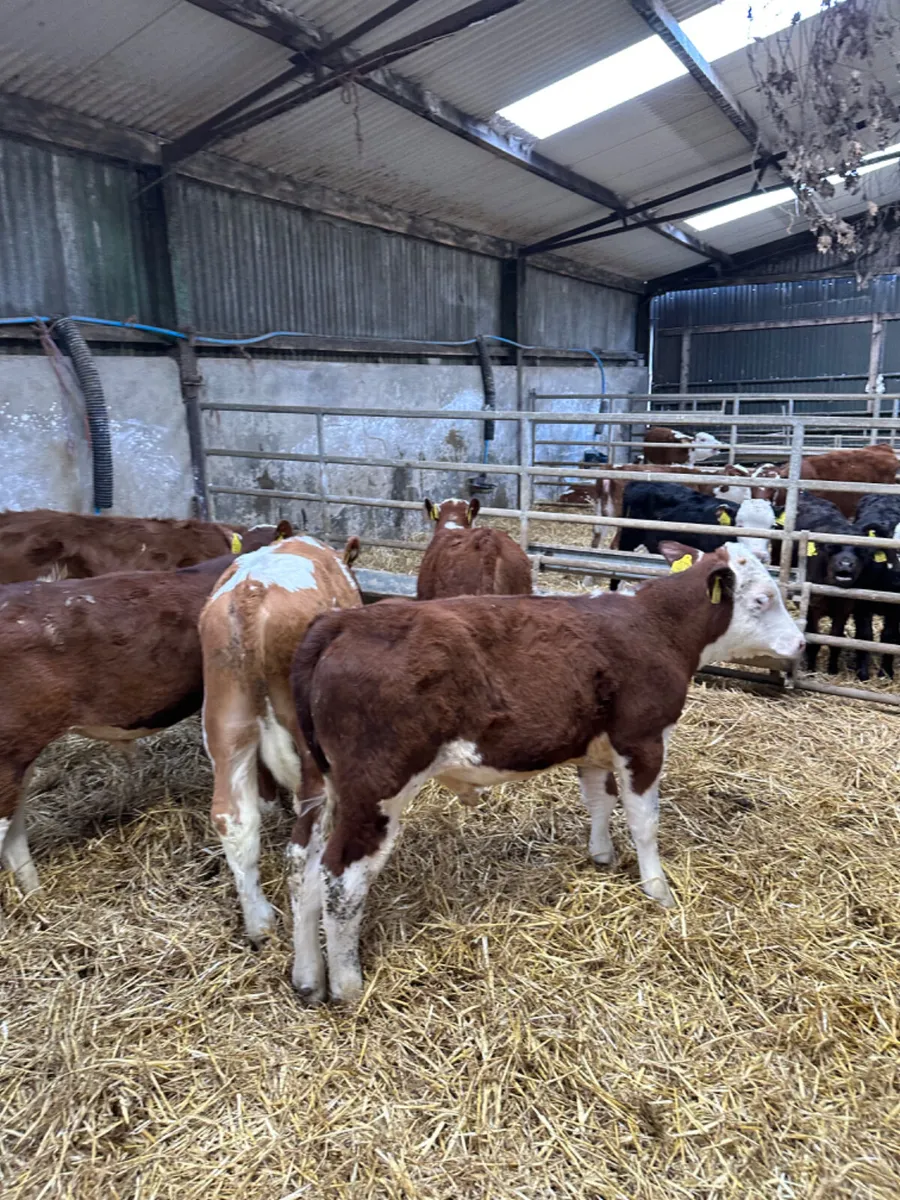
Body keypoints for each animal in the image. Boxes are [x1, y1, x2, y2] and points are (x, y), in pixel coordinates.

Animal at [198, 534, 363, 946]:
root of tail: (250, 593)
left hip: (225, 725)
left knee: (232, 819)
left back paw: (259, 923)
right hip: (309, 748)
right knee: (303, 845)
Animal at [286, 541, 804, 1003]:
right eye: (762, 599)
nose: (800, 642)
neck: (656, 627)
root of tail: (341, 621)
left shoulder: (592, 746)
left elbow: (599, 800)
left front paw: (601, 854)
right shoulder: (643, 740)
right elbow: (644, 821)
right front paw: (657, 889)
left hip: (319, 783)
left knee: (302, 866)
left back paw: (308, 977)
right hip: (375, 788)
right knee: (341, 878)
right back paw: (348, 985)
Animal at [852, 494, 900, 680]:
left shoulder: (895, 610)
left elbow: (888, 636)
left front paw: (886, 672)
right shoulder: (860, 604)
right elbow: (865, 635)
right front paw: (863, 673)